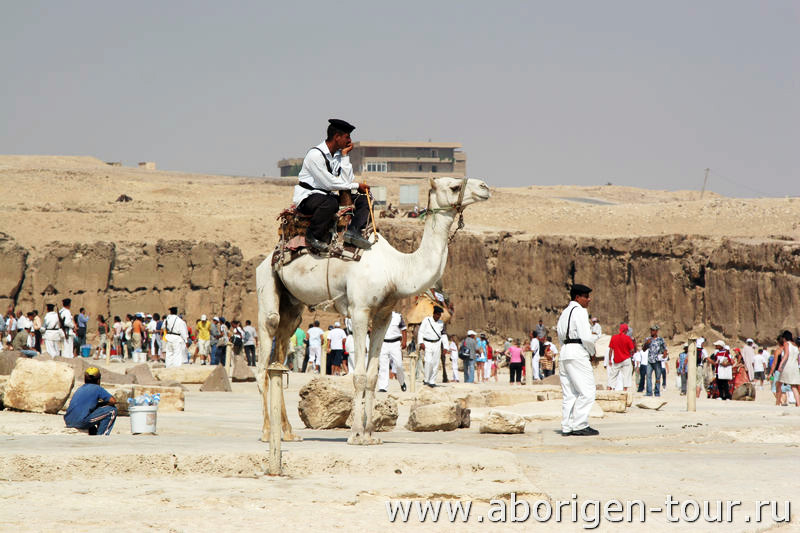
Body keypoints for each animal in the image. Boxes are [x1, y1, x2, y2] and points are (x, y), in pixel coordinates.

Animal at [260, 177, 490, 442]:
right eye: (453, 187)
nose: (484, 187)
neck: (396, 269)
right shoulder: (359, 310)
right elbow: (359, 375)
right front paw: (356, 434)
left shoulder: (383, 315)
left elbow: (371, 375)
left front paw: (370, 433)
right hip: (267, 284)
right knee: (265, 353)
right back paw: (267, 432)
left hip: (293, 305)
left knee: (279, 356)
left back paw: (288, 433)